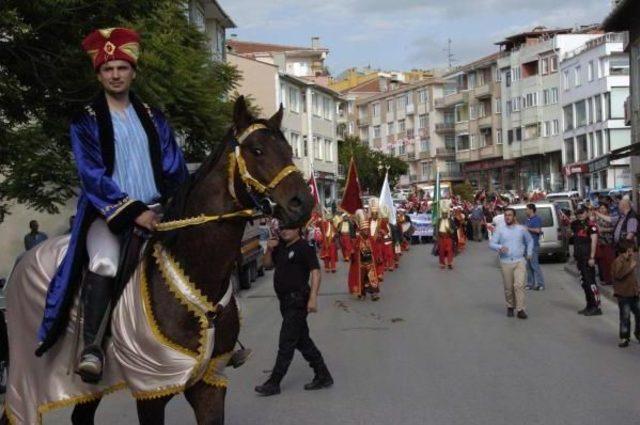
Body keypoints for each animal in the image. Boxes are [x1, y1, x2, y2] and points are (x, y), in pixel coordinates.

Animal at [3, 97, 314, 424]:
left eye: (289, 150)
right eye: (257, 150)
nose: (302, 203)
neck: (195, 274)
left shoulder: (209, 382)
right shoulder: (152, 389)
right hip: (25, 379)